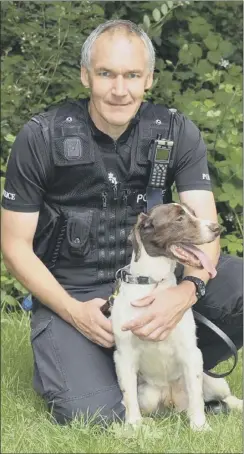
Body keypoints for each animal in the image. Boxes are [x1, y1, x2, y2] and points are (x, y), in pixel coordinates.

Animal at [111, 204, 242, 430]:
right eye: (179, 219)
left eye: (193, 214)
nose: (216, 228)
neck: (154, 284)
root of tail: (172, 402)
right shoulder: (123, 356)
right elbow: (129, 398)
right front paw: (135, 426)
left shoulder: (192, 353)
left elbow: (197, 397)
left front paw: (200, 427)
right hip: (148, 395)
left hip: (214, 380)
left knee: (224, 398)